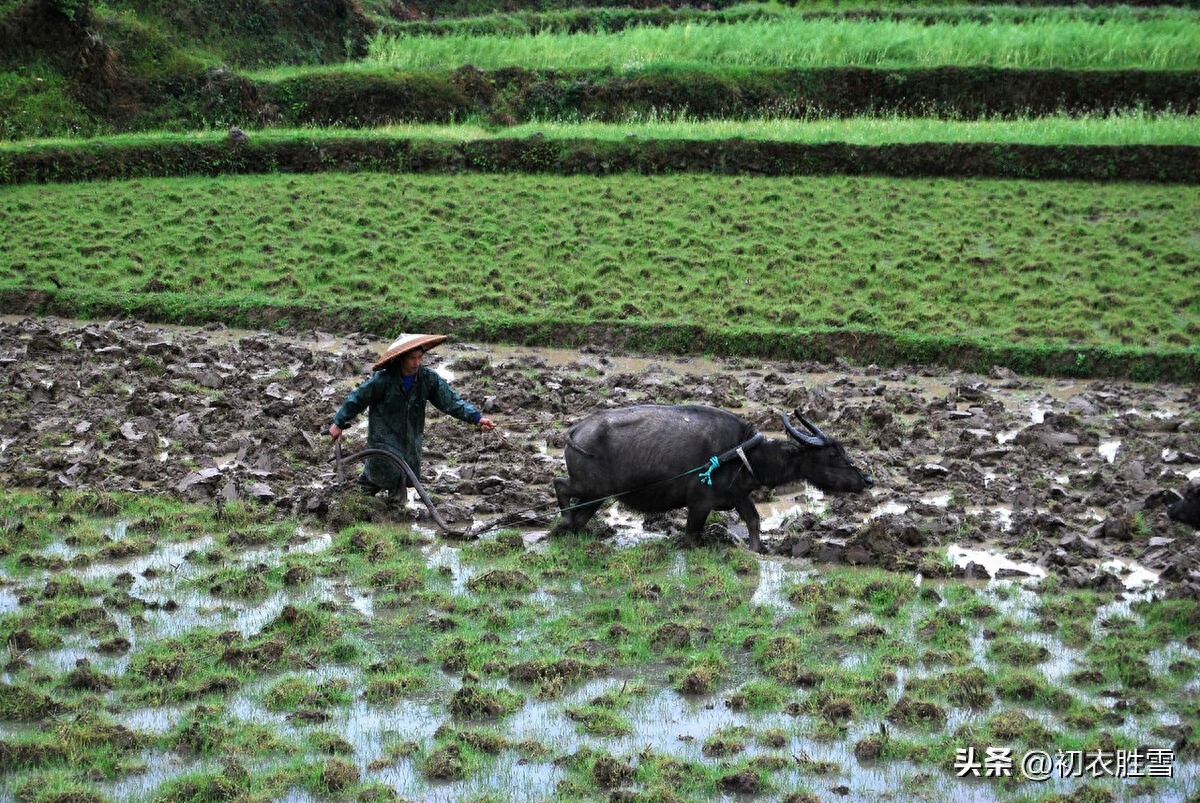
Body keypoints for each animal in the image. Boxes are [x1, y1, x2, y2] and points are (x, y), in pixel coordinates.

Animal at [552, 400, 873, 552]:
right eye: (833, 454)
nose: (867, 480)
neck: (744, 454)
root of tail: (576, 430)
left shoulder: (739, 497)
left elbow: (754, 520)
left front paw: (756, 549)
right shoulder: (700, 504)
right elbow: (692, 535)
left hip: (596, 495)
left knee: (579, 515)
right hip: (592, 488)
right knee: (560, 485)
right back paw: (563, 522)